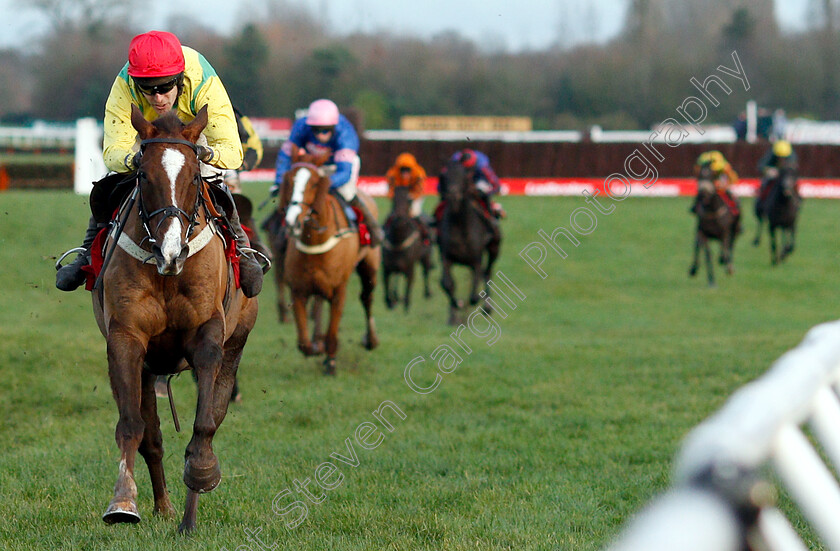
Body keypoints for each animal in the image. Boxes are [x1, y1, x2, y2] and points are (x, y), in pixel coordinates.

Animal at [90, 103, 258, 536]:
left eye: (195, 176)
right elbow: (132, 426)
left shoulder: (208, 335)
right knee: (152, 437)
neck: (166, 273)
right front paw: (122, 502)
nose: (172, 252)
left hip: (237, 343)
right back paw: (165, 508)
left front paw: (201, 472)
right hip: (149, 367)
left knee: (214, 416)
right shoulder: (126, 339)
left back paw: (187, 516)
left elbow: (203, 425)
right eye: (143, 175)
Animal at [278, 151, 378, 376]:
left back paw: (371, 340)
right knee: (319, 304)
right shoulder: (298, 290)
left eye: (314, 183)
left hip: (370, 266)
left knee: (367, 298)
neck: (315, 242)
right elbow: (304, 343)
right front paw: (317, 346)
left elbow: (333, 331)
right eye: (289, 180)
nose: (292, 221)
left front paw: (330, 363)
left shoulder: (339, 289)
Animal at [440, 157, 498, 326]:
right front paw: (455, 311)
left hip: (494, 247)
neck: (459, 225)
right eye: (444, 176)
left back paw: (487, 308)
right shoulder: (446, 257)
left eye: (464, 178)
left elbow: (473, 296)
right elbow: (447, 284)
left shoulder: (475, 260)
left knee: (488, 271)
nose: (454, 196)